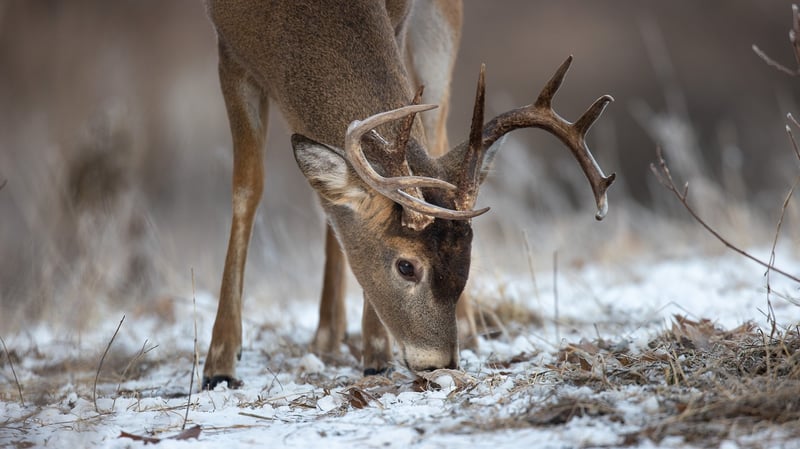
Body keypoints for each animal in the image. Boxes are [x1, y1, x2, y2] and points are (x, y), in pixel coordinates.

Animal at [203, 0, 616, 388]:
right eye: (406, 266)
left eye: (469, 261)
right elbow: (248, 187)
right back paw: (325, 336)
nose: (440, 363)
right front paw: (218, 364)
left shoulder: (398, 20)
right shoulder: (228, 49)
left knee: (436, 132)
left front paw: (376, 353)